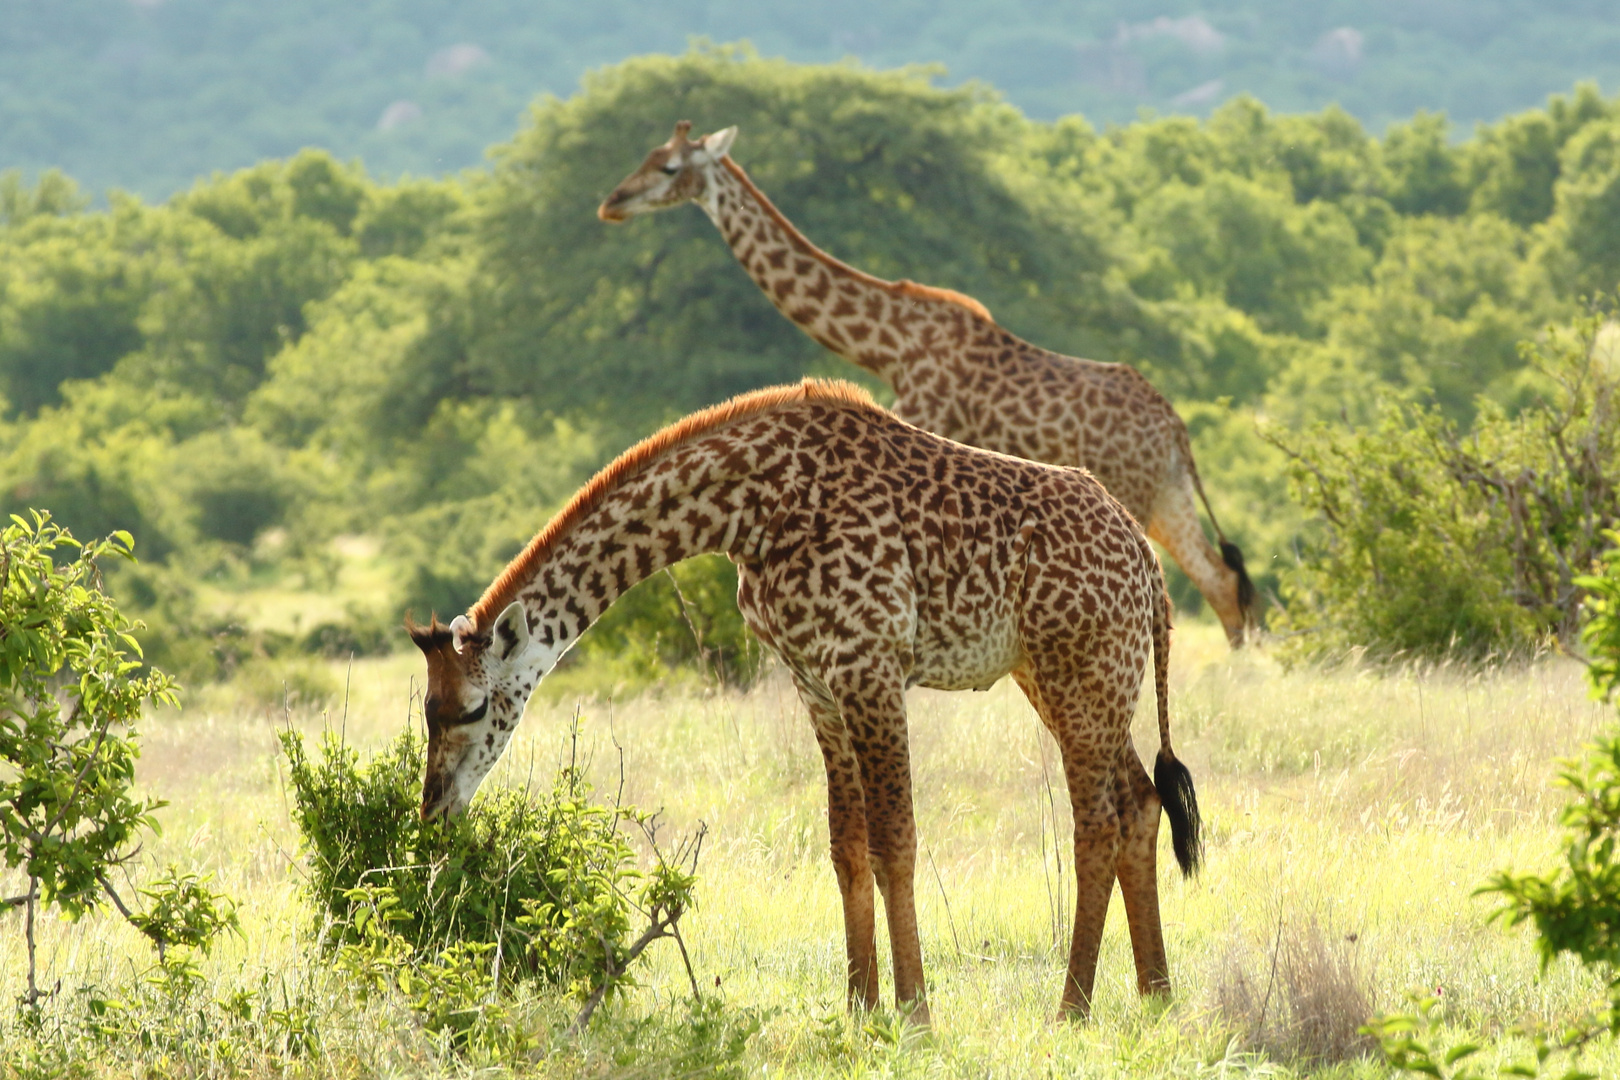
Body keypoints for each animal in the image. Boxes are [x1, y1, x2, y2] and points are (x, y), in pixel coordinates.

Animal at [414, 380, 1205, 1023]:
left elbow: (895, 841)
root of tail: (1149, 564)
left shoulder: (870, 663)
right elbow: (845, 846)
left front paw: (916, 1014)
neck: (749, 511)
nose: (434, 811)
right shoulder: (815, 679)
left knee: (1097, 820)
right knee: (1140, 801)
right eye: (427, 711)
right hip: (1059, 676)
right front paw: (860, 1010)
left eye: (472, 709)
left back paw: (1071, 1008)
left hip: (1081, 670)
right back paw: (1155, 995)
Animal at [602, 122, 1257, 647]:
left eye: (669, 167)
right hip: (1168, 495)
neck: (890, 343)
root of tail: (1175, 428)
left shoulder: (926, 429)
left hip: (1137, 493)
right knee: (1221, 581)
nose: (612, 202)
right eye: (647, 153)